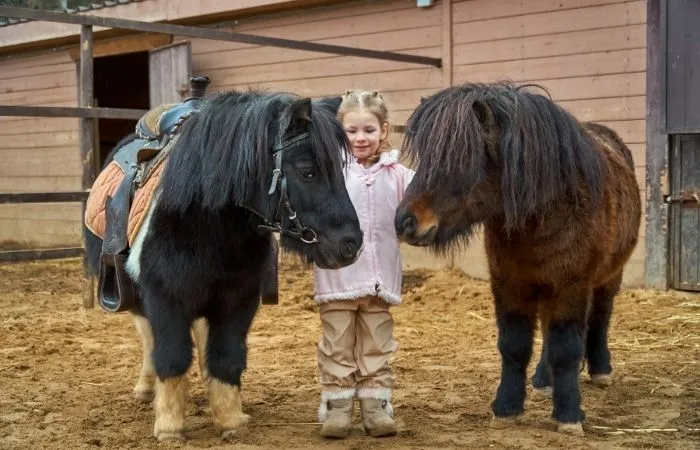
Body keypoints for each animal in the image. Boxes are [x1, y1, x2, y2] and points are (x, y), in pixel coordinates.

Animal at [83, 89, 360, 442]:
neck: (206, 223)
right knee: (148, 338)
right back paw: (147, 390)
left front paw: (230, 419)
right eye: (308, 171)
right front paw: (170, 426)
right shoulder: (164, 298)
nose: (351, 244)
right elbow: (171, 355)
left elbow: (226, 355)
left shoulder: (238, 298)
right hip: (134, 295)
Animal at [394, 81, 640, 436]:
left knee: (600, 317)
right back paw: (543, 380)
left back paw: (601, 370)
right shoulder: (509, 284)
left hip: (607, 278)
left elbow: (566, 349)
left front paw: (569, 415)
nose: (405, 222)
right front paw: (507, 407)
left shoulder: (571, 286)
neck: (543, 214)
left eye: (462, 158)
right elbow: (514, 345)